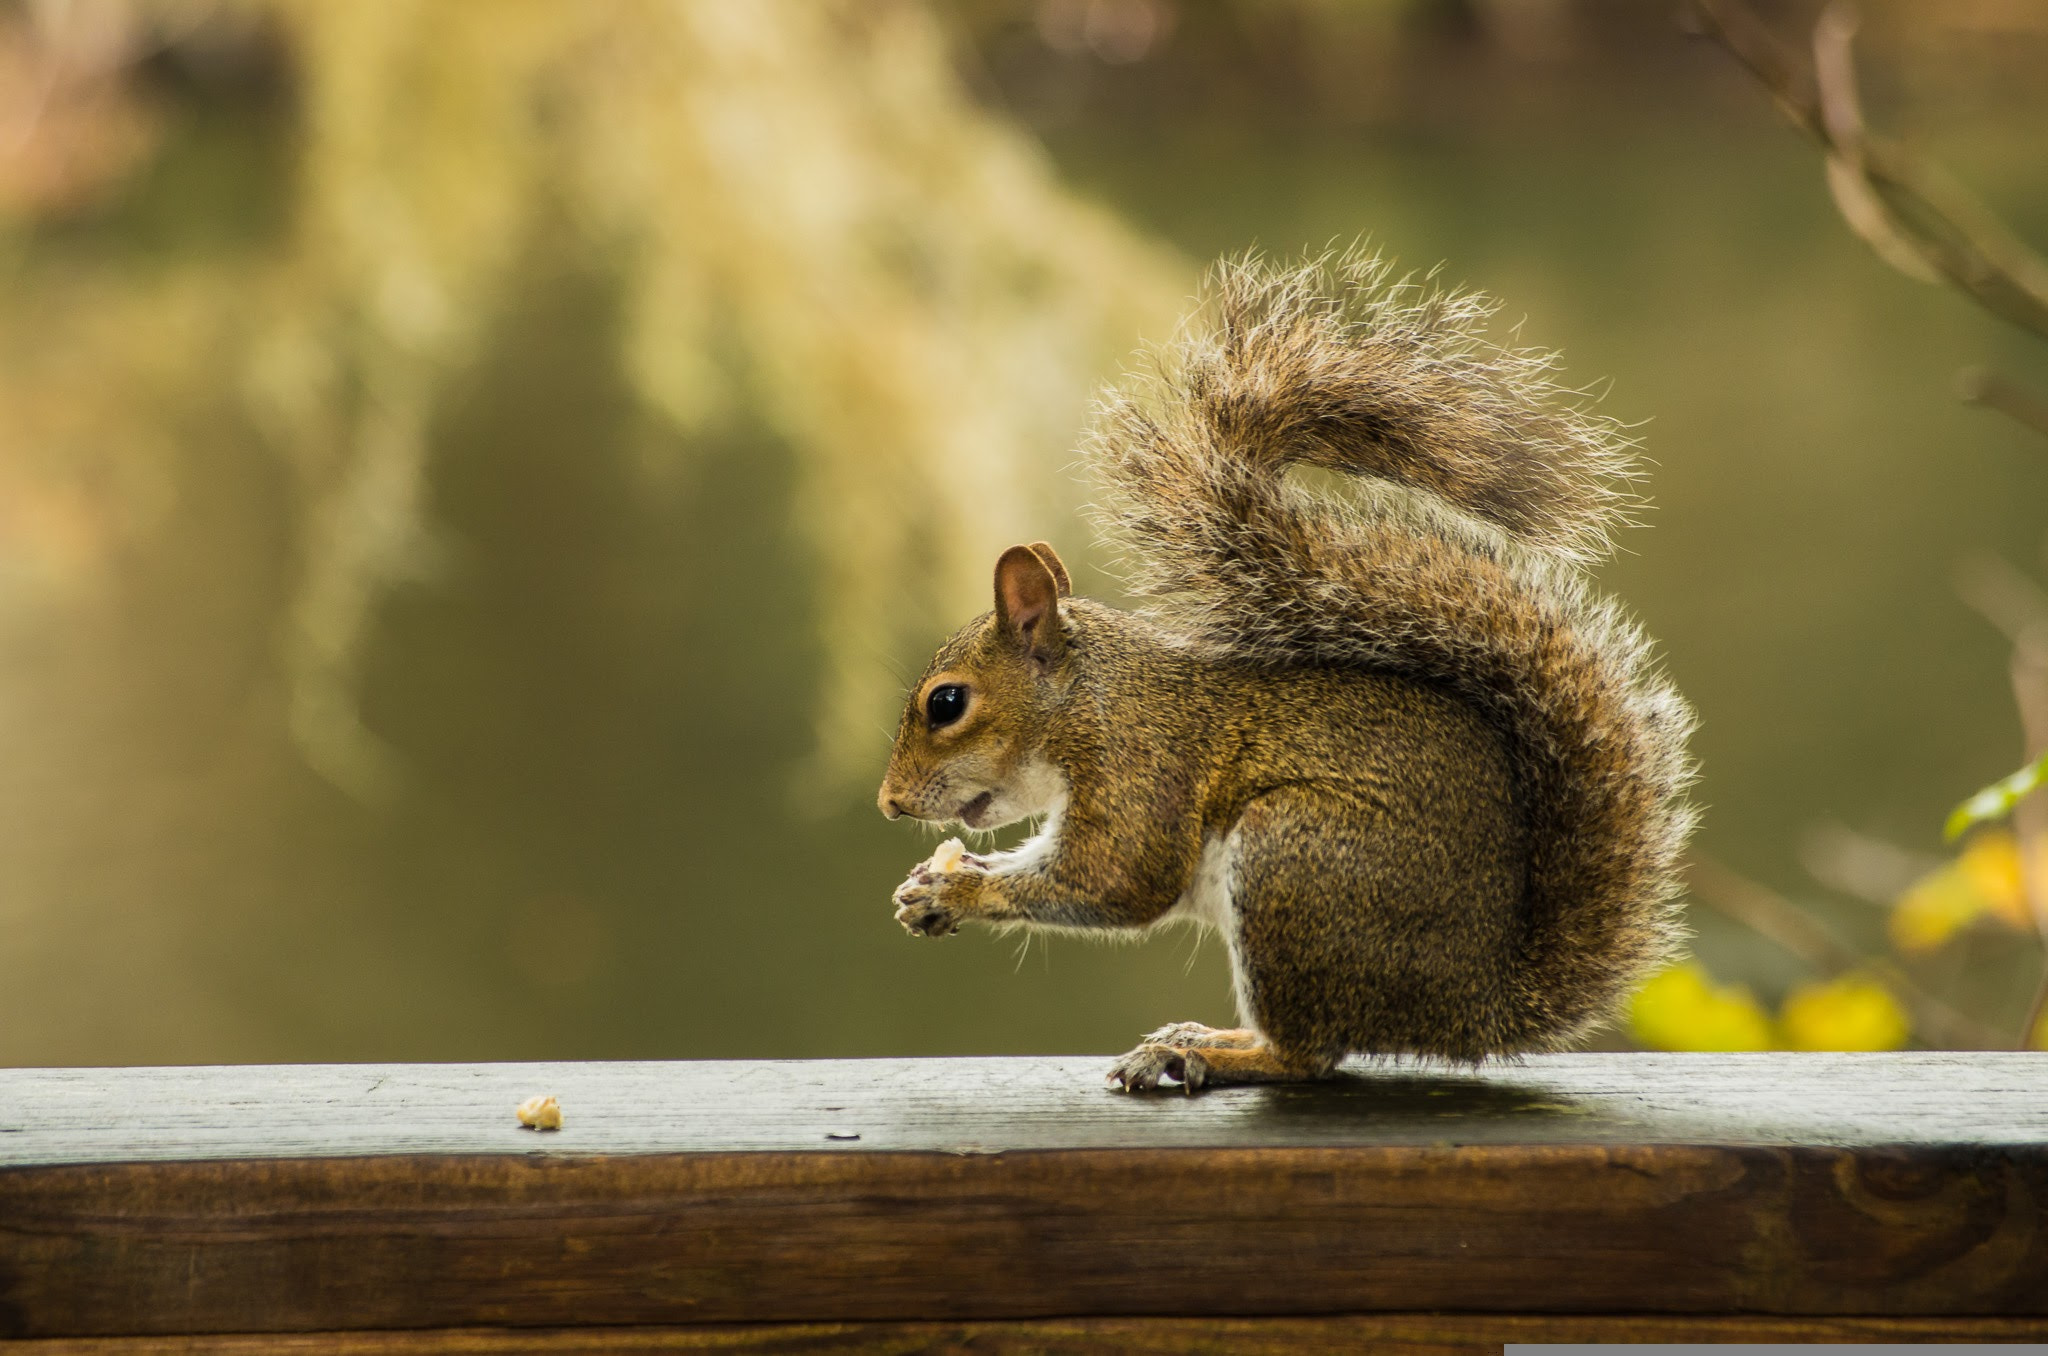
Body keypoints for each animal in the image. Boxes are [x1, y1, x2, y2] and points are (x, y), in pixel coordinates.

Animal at [880, 251, 1695, 1097]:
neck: (1090, 701)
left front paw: (958, 887)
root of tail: (1478, 1007)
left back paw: (1204, 1052)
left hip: (1294, 863)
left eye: (946, 703)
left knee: (1306, 1055)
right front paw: (934, 883)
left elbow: (1116, 879)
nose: (891, 803)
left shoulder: (1139, 772)